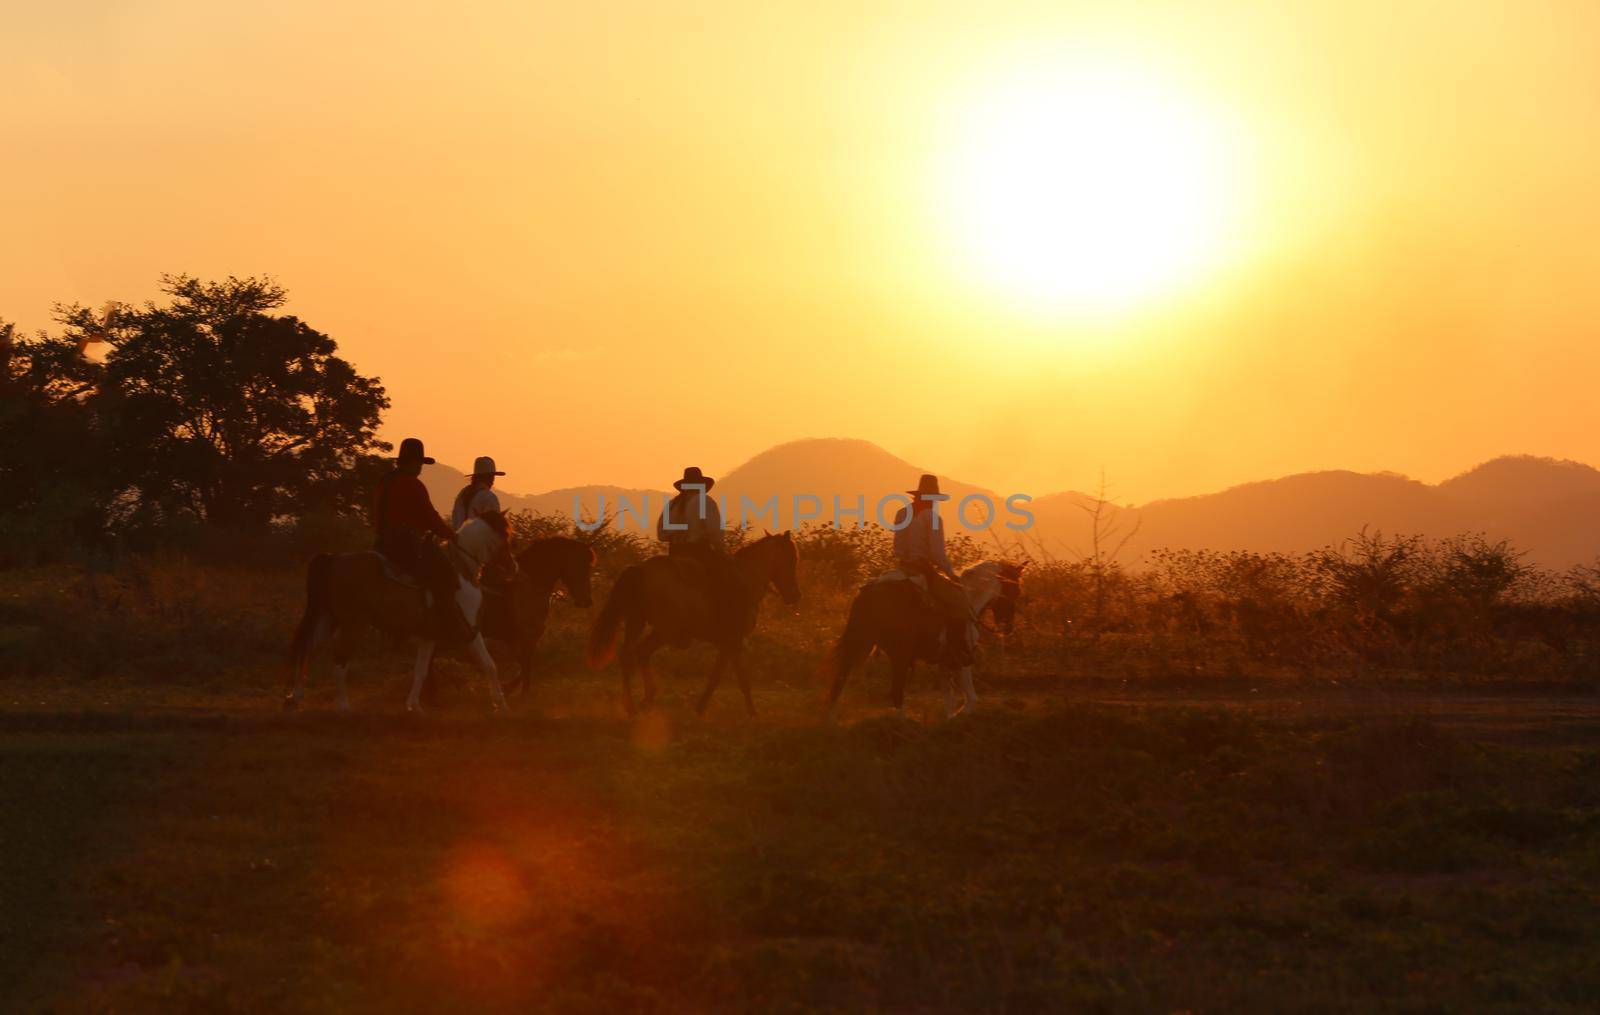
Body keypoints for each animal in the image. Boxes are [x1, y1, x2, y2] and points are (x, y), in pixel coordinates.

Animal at [281, 505, 518, 710]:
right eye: (506, 537)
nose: (513, 567)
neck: (461, 569)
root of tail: (334, 559)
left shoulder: (429, 636)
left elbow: (421, 671)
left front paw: (414, 706)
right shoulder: (469, 631)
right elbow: (490, 664)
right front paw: (501, 705)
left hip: (327, 619)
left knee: (308, 649)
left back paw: (295, 698)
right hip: (353, 624)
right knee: (339, 663)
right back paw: (343, 707)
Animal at [585, 528, 800, 710]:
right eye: (791, 559)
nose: (795, 595)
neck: (746, 580)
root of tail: (639, 569)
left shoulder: (729, 643)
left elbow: (733, 676)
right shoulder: (732, 641)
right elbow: (727, 678)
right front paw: (705, 709)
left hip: (637, 622)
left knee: (630, 654)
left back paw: (638, 703)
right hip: (664, 630)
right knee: (638, 653)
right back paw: (640, 701)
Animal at [819, 557, 1030, 714]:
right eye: (1015, 589)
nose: (1007, 628)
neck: (969, 600)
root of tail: (874, 591)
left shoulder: (944, 662)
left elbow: (949, 700)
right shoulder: (962, 658)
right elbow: (971, 698)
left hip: (860, 644)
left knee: (838, 684)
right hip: (900, 654)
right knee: (896, 693)